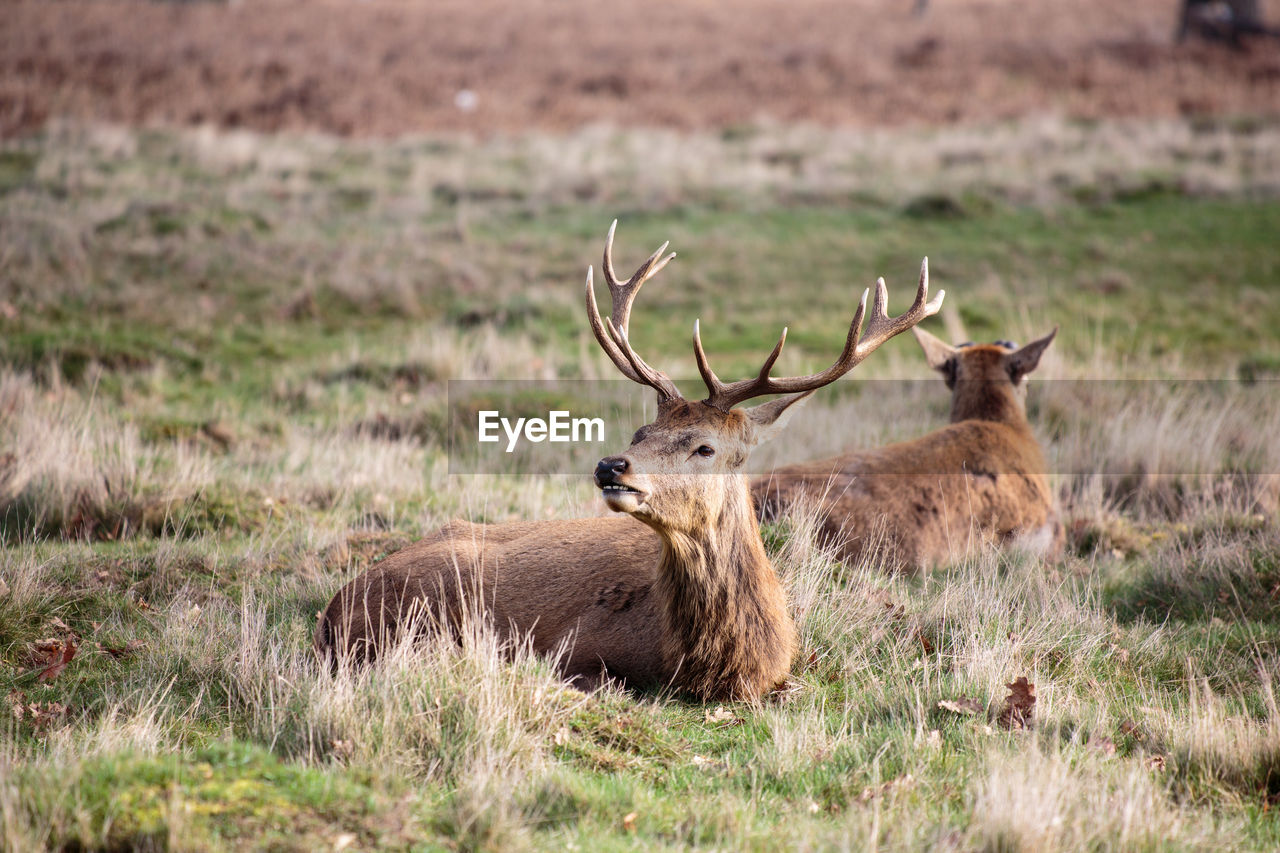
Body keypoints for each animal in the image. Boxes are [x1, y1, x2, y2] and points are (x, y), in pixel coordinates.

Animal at [313, 222, 942, 701]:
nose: (611, 466)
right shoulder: (572, 649)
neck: (715, 665)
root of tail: (331, 611)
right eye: (643, 431)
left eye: (705, 447)